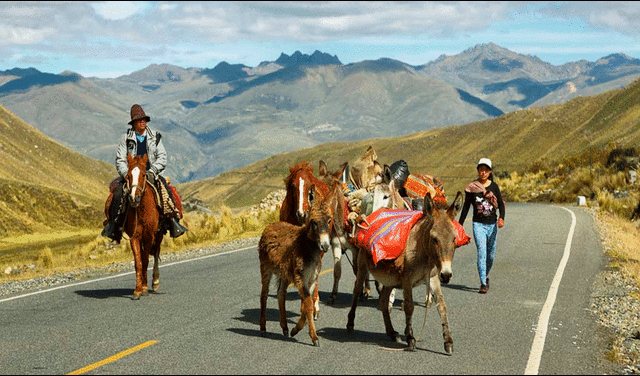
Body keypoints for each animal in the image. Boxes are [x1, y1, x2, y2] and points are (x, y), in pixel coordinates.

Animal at [122, 153, 162, 300]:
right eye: (128, 175)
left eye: (144, 175)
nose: (134, 198)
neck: (142, 211)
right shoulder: (135, 237)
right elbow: (138, 263)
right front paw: (137, 290)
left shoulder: (150, 236)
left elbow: (145, 261)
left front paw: (144, 288)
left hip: (159, 235)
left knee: (156, 254)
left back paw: (155, 281)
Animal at [260, 180, 340, 346]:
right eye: (314, 222)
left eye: (329, 220)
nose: (325, 246)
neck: (307, 245)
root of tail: (270, 225)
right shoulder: (300, 277)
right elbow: (308, 304)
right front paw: (314, 337)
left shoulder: (311, 278)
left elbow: (306, 304)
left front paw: (295, 330)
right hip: (266, 269)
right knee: (264, 295)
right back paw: (263, 328)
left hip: (284, 273)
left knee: (280, 294)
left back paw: (284, 328)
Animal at [348, 191, 462, 352]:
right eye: (434, 239)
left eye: (454, 238)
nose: (446, 275)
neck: (424, 255)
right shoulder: (407, 280)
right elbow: (409, 307)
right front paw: (410, 338)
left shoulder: (433, 278)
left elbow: (442, 306)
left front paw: (448, 341)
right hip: (363, 267)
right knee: (356, 291)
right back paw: (350, 323)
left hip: (389, 279)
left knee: (383, 300)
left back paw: (391, 332)